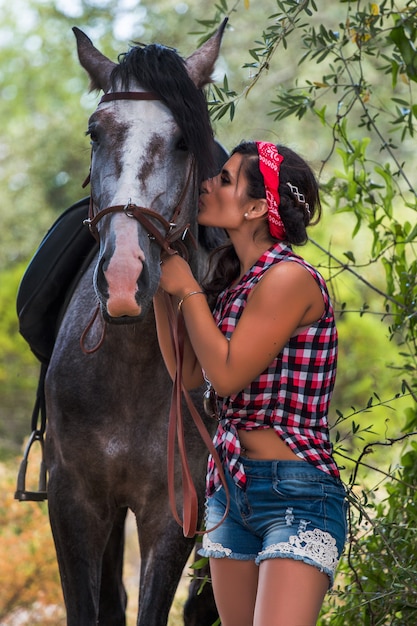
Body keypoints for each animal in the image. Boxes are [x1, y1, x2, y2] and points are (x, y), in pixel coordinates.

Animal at [44, 22, 226, 620]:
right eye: (94, 133)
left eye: (184, 141)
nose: (124, 279)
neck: (128, 367)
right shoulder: (73, 500)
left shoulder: (173, 511)